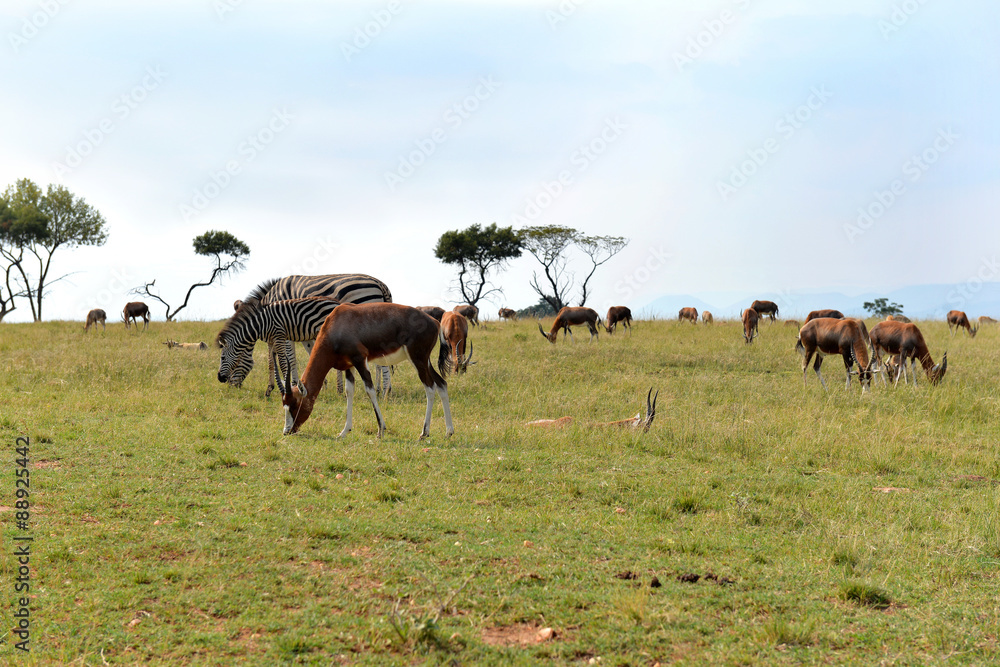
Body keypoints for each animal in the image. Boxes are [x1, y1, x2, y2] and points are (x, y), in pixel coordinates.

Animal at [219, 274, 394, 394]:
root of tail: (380, 283)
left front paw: (294, 385)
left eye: (224, 357)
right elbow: (276, 360)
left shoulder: (287, 330)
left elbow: (290, 359)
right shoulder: (301, 331)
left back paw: (385, 390)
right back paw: (382, 388)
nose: (227, 384)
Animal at [280, 302, 456, 438]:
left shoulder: (360, 360)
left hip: (418, 359)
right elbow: (349, 391)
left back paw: (424, 433)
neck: (338, 321)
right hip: (425, 361)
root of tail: (435, 322)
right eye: (284, 405)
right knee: (441, 384)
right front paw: (344, 432)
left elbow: (370, 390)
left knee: (430, 387)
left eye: (295, 404)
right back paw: (449, 432)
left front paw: (380, 430)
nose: (287, 431)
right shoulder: (348, 366)